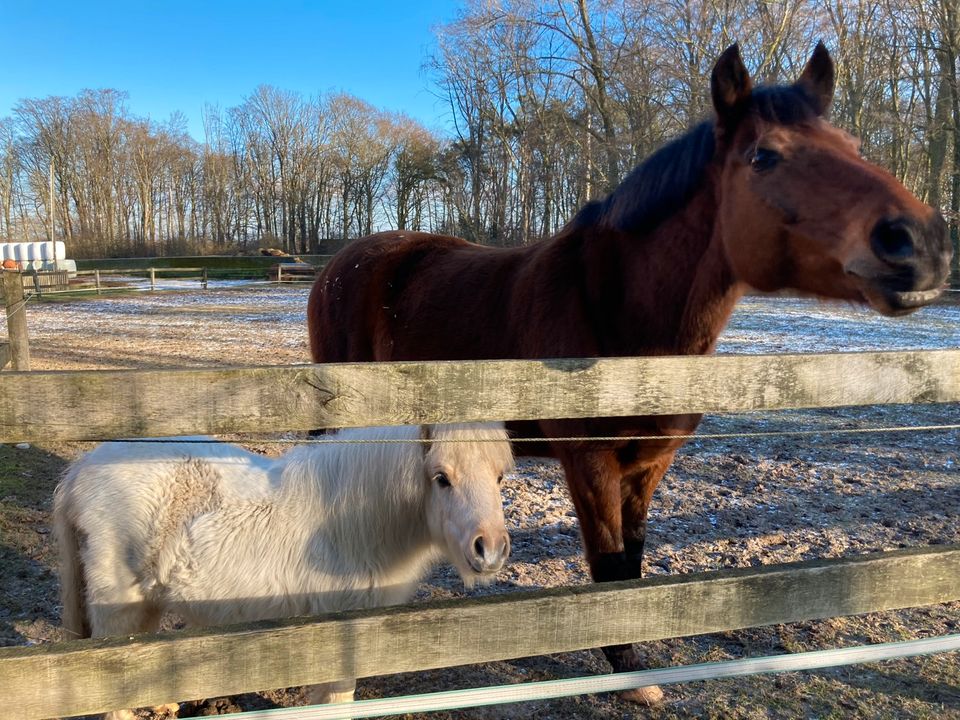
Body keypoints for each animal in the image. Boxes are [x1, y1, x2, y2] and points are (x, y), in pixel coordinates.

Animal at [55, 424, 512, 716]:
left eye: (500, 477)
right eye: (441, 478)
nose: (489, 550)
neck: (350, 526)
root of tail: (82, 469)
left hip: (145, 603)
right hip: (117, 609)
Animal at [310, 42, 952, 700]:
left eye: (852, 145)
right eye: (763, 156)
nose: (920, 242)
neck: (620, 315)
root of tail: (340, 262)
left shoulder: (646, 467)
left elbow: (635, 561)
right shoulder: (589, 465)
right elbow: (610, 563)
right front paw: (628, 671)